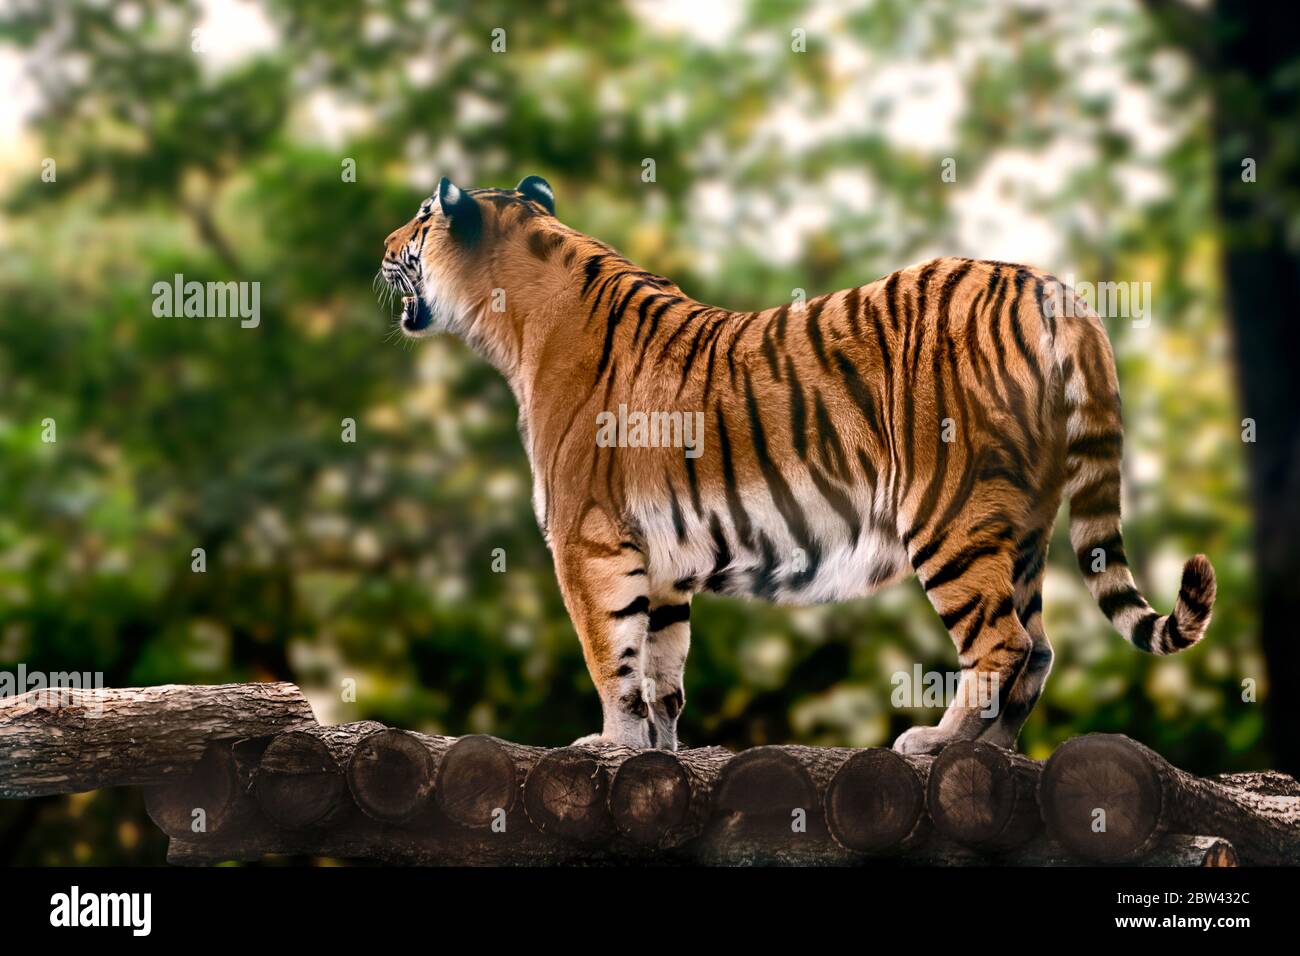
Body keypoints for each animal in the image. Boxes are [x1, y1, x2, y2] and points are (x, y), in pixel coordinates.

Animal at [379, 174, 1211, 754]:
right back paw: (997, 751)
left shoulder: (589, 542)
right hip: (1026, 526)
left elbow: (612, 659)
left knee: (1001, 643)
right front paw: (656, 752)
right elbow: (662, 673)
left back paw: (935, 743)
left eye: (420, 215)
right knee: (1037, 649)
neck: (516, 322)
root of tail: (1048, 285)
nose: (384, 250)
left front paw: (607, 746)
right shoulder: (664, 562)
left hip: (950, 515)